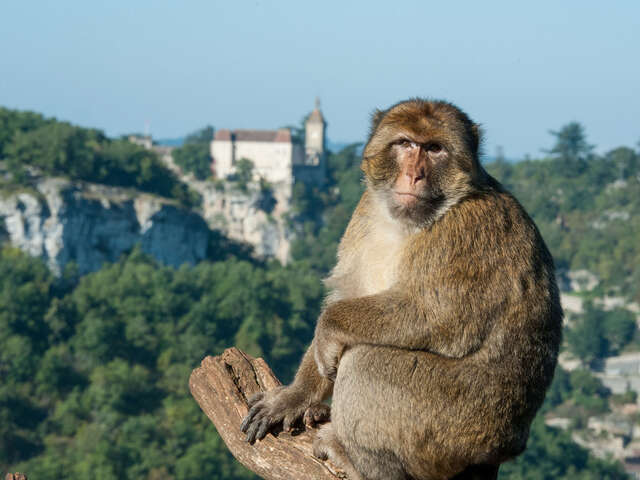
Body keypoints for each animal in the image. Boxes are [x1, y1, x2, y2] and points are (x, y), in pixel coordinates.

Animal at [242, 98, 564, 480]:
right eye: (406, 144)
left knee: (365, 362)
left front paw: (328, 327)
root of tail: (508, 446)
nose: (415, 175)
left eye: (435, 149)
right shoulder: (364, 210)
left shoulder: (465, 232)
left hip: (455, 425)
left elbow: (437, 317)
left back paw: (359, 461)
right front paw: (296, 396)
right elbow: (348, 294)